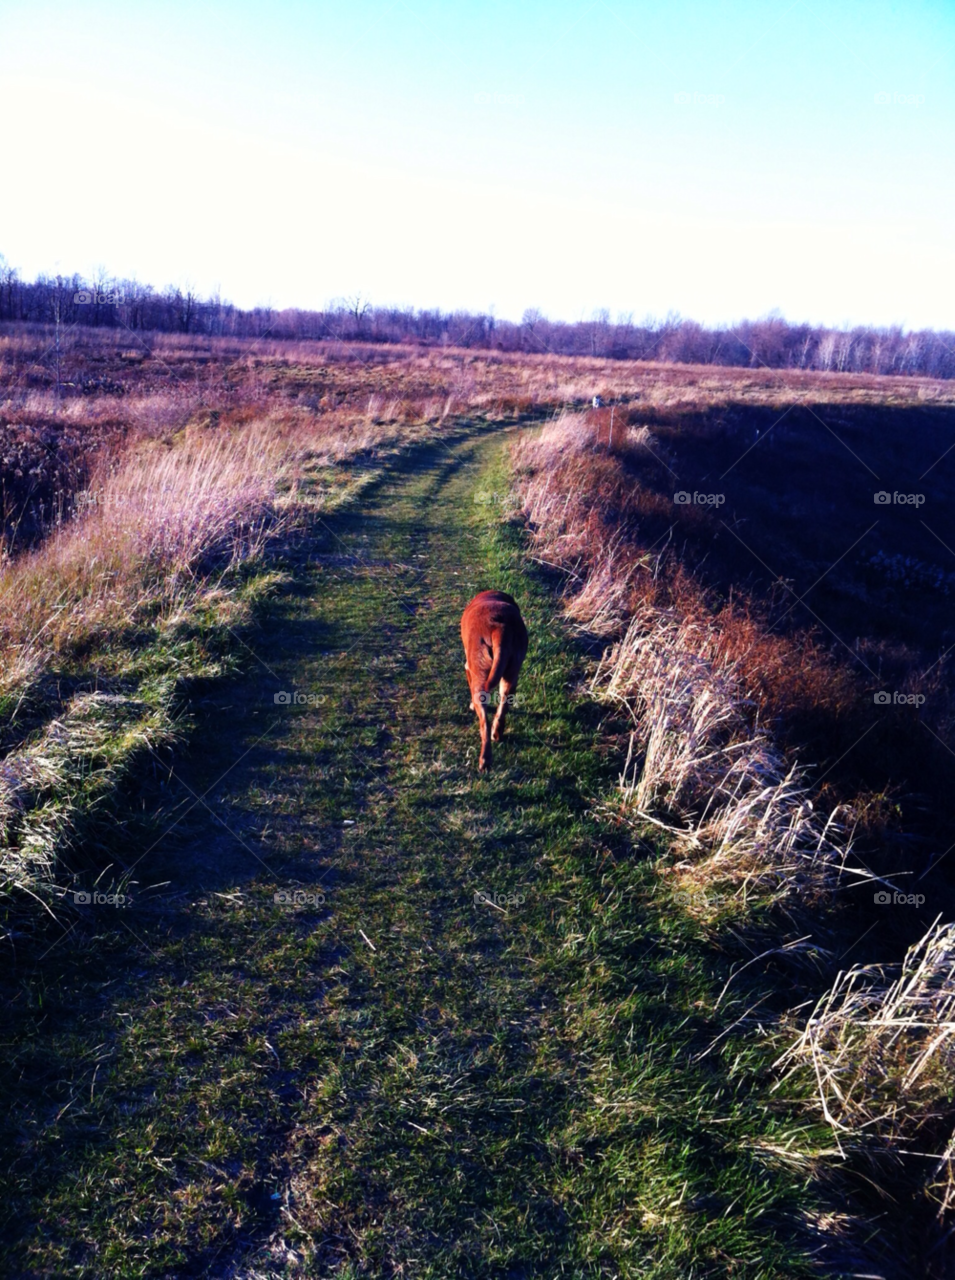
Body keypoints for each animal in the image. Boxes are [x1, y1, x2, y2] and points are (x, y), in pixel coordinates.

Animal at [458, 588, 524, 768]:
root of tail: (499, 628)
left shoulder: (468, 667)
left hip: (480, 679)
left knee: (484, 724)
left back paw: (485, 759)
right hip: (511, 677)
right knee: (502, 709)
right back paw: (497, 734)